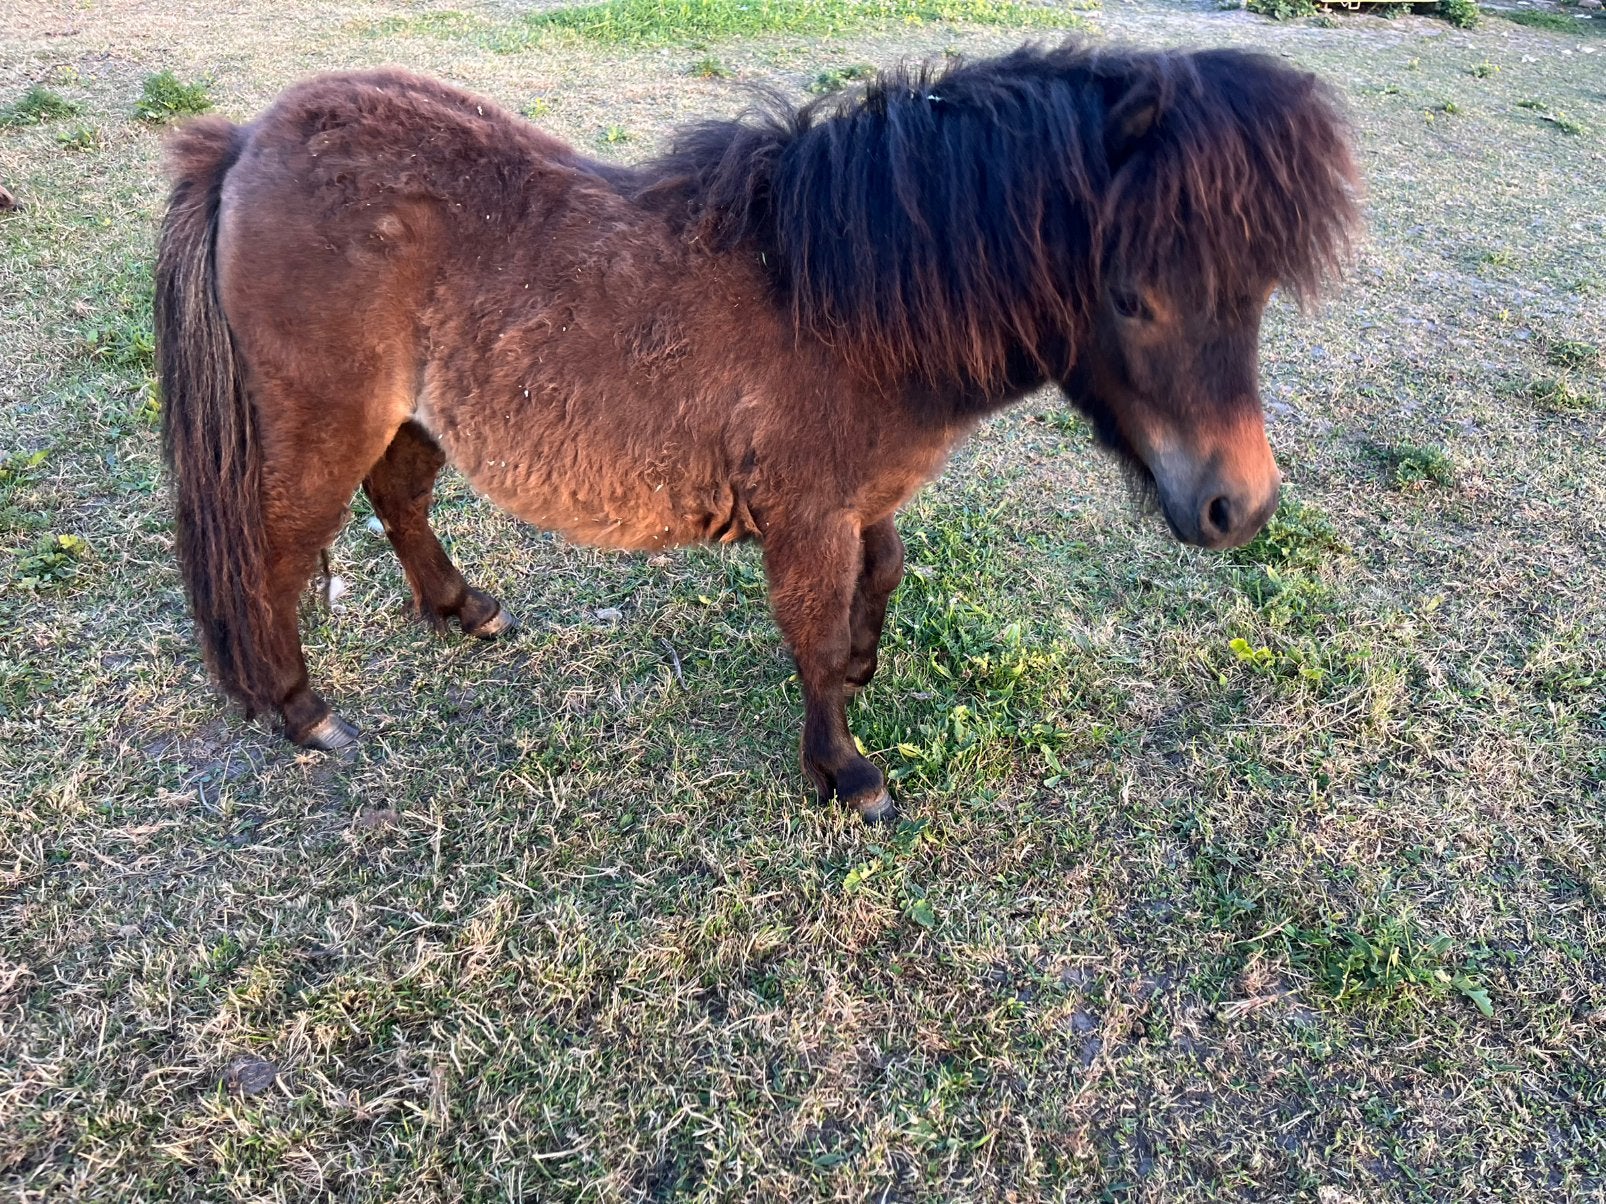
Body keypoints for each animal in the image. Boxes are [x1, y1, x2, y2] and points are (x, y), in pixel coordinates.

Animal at [154, 42, 1358, 822]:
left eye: (1252, 293)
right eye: (1134, 298)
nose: (1239, 505)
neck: (847, 302)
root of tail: (247, 141)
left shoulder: (862, 496)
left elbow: (886, 569)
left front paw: (869, 664)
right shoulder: (806, 514)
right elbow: (813, 635)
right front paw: (847, 772)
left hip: (407, 413)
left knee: (398, 498)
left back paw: (464, 609)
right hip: (320, 420)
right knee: (276, 550)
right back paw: (299, 708)